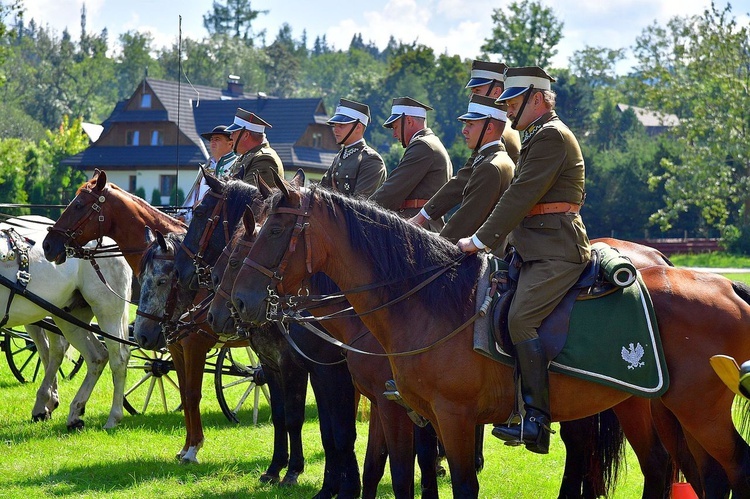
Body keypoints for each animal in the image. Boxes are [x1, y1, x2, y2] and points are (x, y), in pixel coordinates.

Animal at [0, 217, 131, 432]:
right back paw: (73, 412)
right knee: (94, 356)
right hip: (67, 316)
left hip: (107, 310)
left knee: (118, 358)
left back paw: (113, 417)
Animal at [232, 176, 750, 499]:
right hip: (654, 406)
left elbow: (451, 482)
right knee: (686, 471)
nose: (239, 303)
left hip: (695, 410)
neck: (427, 300)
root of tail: (727, 285)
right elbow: (405, 474)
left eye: (273, 230)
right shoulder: (412, 411)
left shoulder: (450, 417)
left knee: (731, 467)